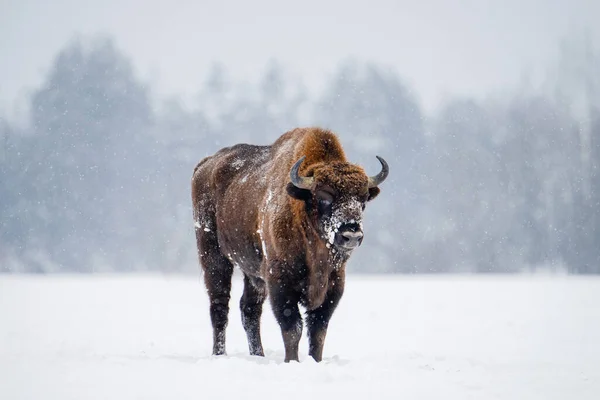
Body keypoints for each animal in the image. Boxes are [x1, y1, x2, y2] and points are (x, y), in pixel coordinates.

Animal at [191, 127, 390, 362]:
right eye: (324, 196)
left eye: (362, 200)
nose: (351, 234)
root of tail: (204, 165)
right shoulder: (280, 282)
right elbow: (292, 327)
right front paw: (292, 361)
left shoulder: (333, 285)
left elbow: (318, 329)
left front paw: (314, 361)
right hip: (213, 256)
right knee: (220, 306)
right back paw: (219, 354)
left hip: (253, 273)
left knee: (249, 309)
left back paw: (259, 355)